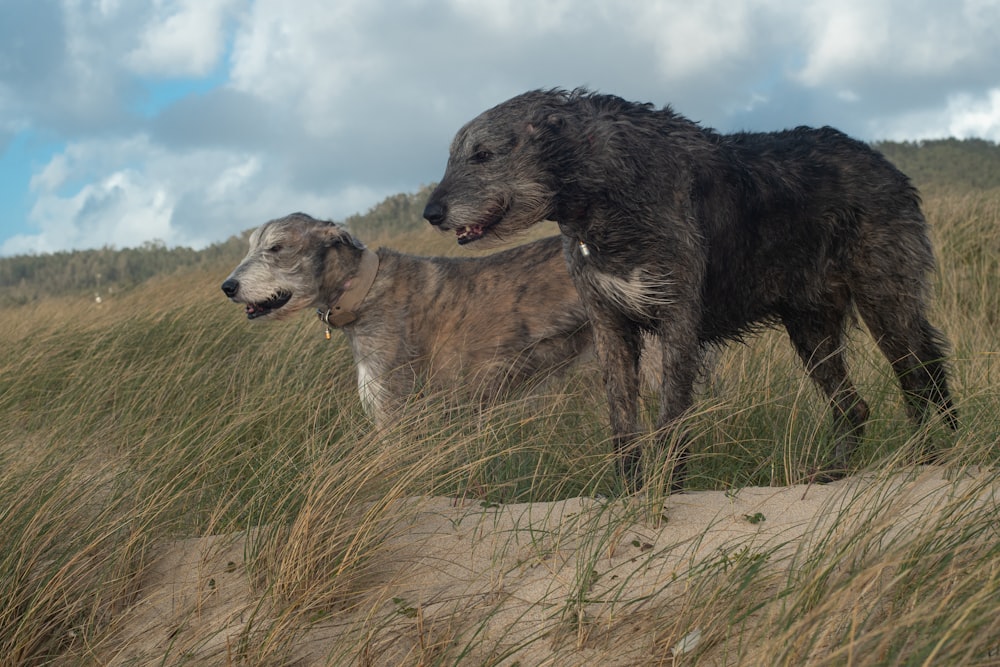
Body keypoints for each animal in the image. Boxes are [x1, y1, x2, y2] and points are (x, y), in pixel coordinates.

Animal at [422, 88, 952, 494]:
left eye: (484, 154)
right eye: (451, 156)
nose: (431, 213)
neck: (607, 192)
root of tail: (882, 161)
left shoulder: (677, 318)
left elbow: (672, 417)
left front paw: (668, 493)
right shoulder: (610, 324)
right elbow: (622, 421)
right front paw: (630, 494)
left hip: (886, 301)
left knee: (922, 375)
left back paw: (937, 455)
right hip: (810, 327)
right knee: (854, 406)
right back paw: (833, 473)